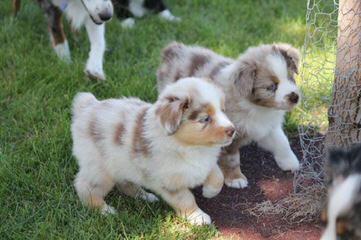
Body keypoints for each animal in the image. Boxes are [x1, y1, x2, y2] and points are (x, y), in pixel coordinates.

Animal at [71, 77, 235, 225]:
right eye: (205, 119)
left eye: (223, 110)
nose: (232, 130)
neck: (191, 147)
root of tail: (87, 106)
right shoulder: (169, 182)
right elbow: (185, 199)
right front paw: (198, 217)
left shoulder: (207, 163)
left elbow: (218, 176)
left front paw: (209, 192)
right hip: (100, 170)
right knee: (85, 187)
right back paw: (104, 210)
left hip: (125, 166)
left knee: (125, 184)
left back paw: (146, 196)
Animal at [156, 42, 300, 188]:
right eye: (271, 87)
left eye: (290, 78)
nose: (295, 97)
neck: (258, 108)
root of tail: (174, 49)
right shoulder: (228, 135)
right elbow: (232, 159)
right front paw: (235, 178)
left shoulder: (267, 126)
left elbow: (282, 142)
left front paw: (291, 162)